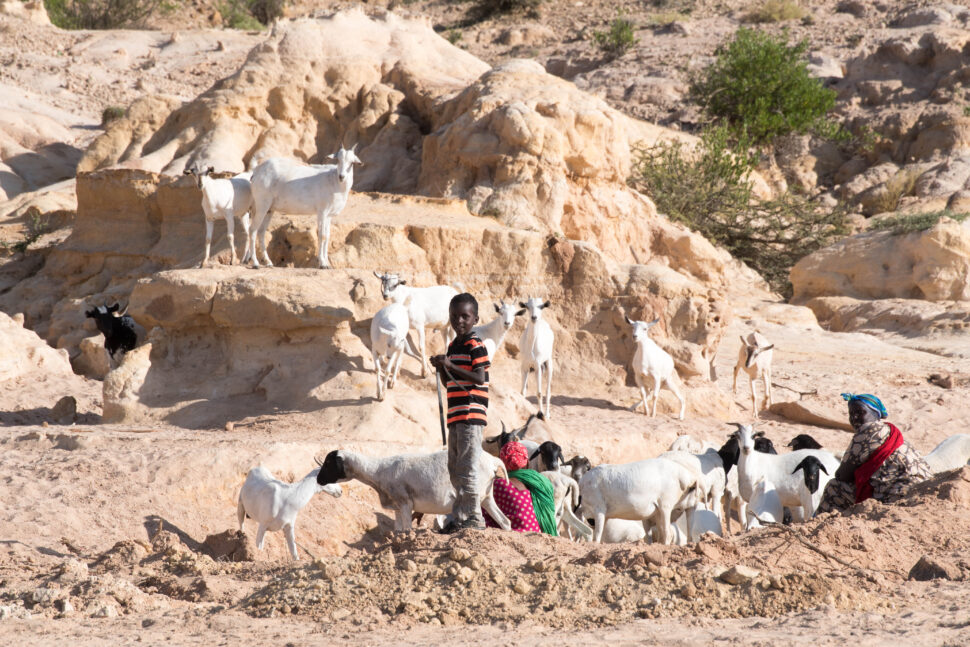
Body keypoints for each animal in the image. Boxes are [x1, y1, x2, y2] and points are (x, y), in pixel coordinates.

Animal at [315, 449, 510, 532]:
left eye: (328, 462)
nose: (318, 479)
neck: (378, 471)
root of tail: (493, 461)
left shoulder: (405, 503)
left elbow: (408, 530)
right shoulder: (397, 508)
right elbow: (399, 531)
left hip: (475, 496)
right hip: (487, 496)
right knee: (505, 521)